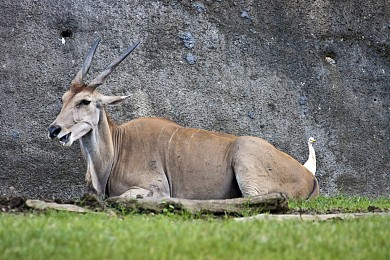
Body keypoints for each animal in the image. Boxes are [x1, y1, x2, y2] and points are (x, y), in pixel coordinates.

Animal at [47, 39, 318, 199]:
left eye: (85, 101)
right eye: (63, 98)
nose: (54, 130)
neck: (118, 147)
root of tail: (309, 176)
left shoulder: (157, 189)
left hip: (246, 158)